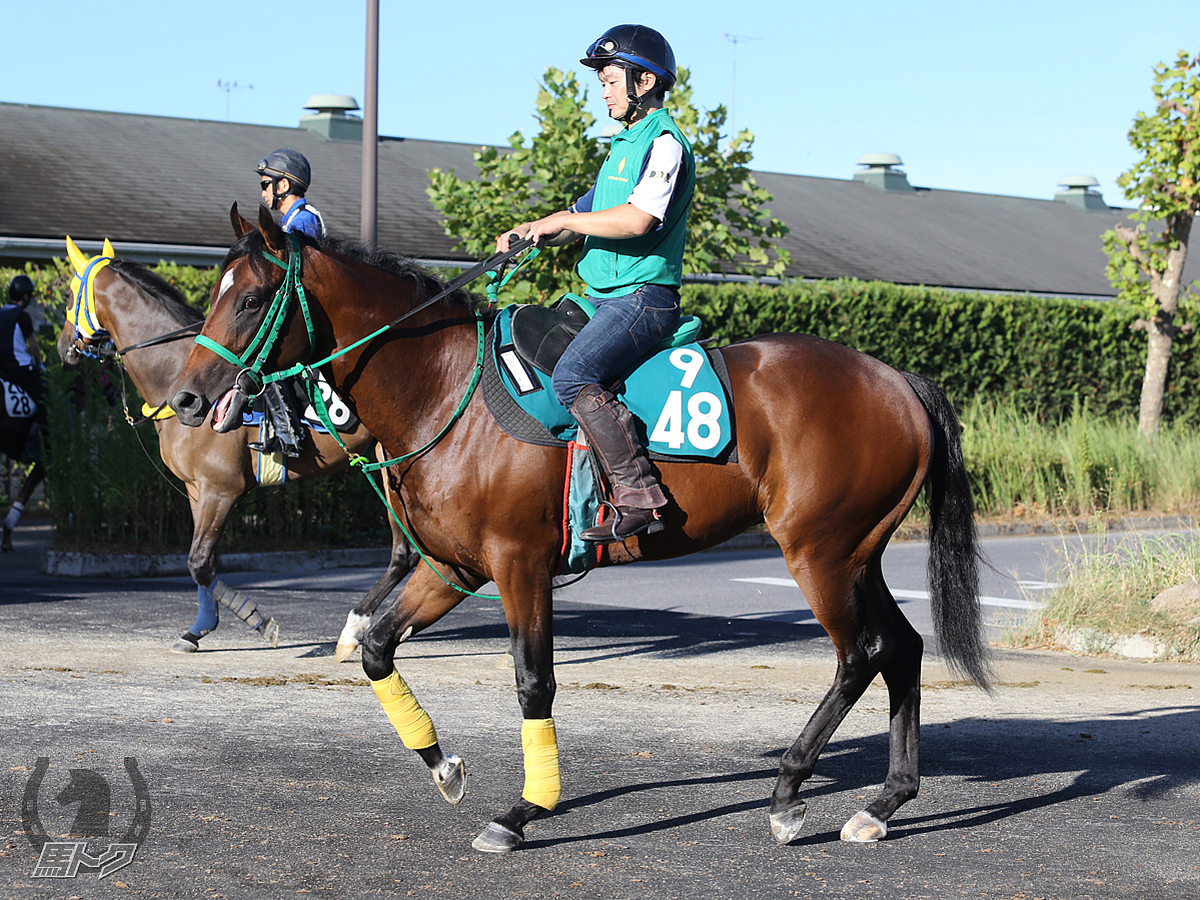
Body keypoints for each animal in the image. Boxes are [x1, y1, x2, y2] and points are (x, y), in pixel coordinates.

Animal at [58, 237, 420, 662]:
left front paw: (258, 621)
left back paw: (356, 627)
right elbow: (204, 563)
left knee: (404, 551)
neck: (177, 373)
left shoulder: (221, 490)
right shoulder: (197, 491)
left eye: (69, 294)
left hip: (390, 464)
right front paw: (197, 630)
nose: (63, 347)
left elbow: (199, 564)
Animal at [169, 204, 993, 854]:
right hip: (858, 553)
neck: (444, 388)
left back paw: (790, 794)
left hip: (817, 551)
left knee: (859, 656)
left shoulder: (518, 566)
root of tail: (897, 381)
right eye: (214, 294)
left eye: (251, 299)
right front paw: (444, 766)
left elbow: (533, 682)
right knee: (901, 649)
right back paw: (882, 804)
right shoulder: (452, 570)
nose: (185, 398)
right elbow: (376, 649)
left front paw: (523, 810)